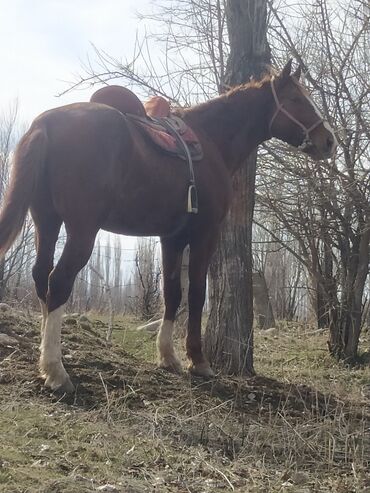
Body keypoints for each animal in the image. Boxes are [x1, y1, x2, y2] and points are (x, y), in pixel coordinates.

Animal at [0, 60, 336, 392]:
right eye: (296, 99)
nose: (329, 140)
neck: (211, 140)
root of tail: (46, 123)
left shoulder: (171, 238)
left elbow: (172, 292)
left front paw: (167, 357)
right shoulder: (204, 235)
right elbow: (197, 294)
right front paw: (198, 361)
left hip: (47, 221)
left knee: (41, 276)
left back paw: (45, 359)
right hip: (82, 230)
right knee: (58, 281)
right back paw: (56, 371)